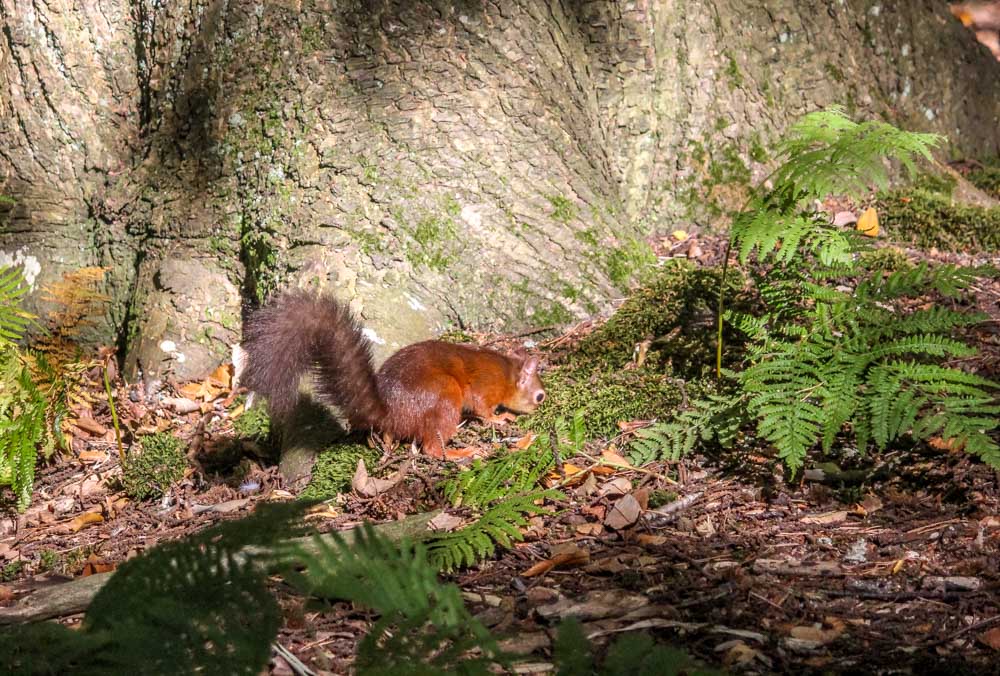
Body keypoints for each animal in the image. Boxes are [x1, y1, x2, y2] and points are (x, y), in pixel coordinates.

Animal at [238, 290, 544, 460]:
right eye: (540, 396)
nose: (540, 407)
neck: (507, 372)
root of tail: (389, 411)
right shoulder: (485, 387)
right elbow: (483, 408)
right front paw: (500, 418)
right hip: (446, 398)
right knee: (432, 448)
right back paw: (459, 453)